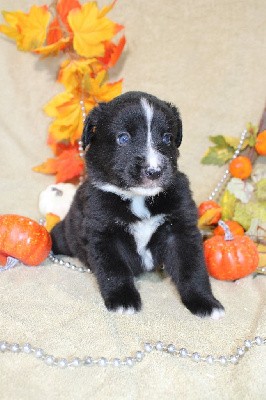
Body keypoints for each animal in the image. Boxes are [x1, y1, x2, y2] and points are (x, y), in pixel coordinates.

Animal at [50, 91, 224, 318]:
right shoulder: (103, 234)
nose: (154, 171)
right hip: (65, 234)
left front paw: (205, 302)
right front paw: (123, 300)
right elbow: (114, 270)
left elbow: (192, 269)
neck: (139, 198)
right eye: (123, 138)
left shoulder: (180, 230)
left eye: (167, 138)